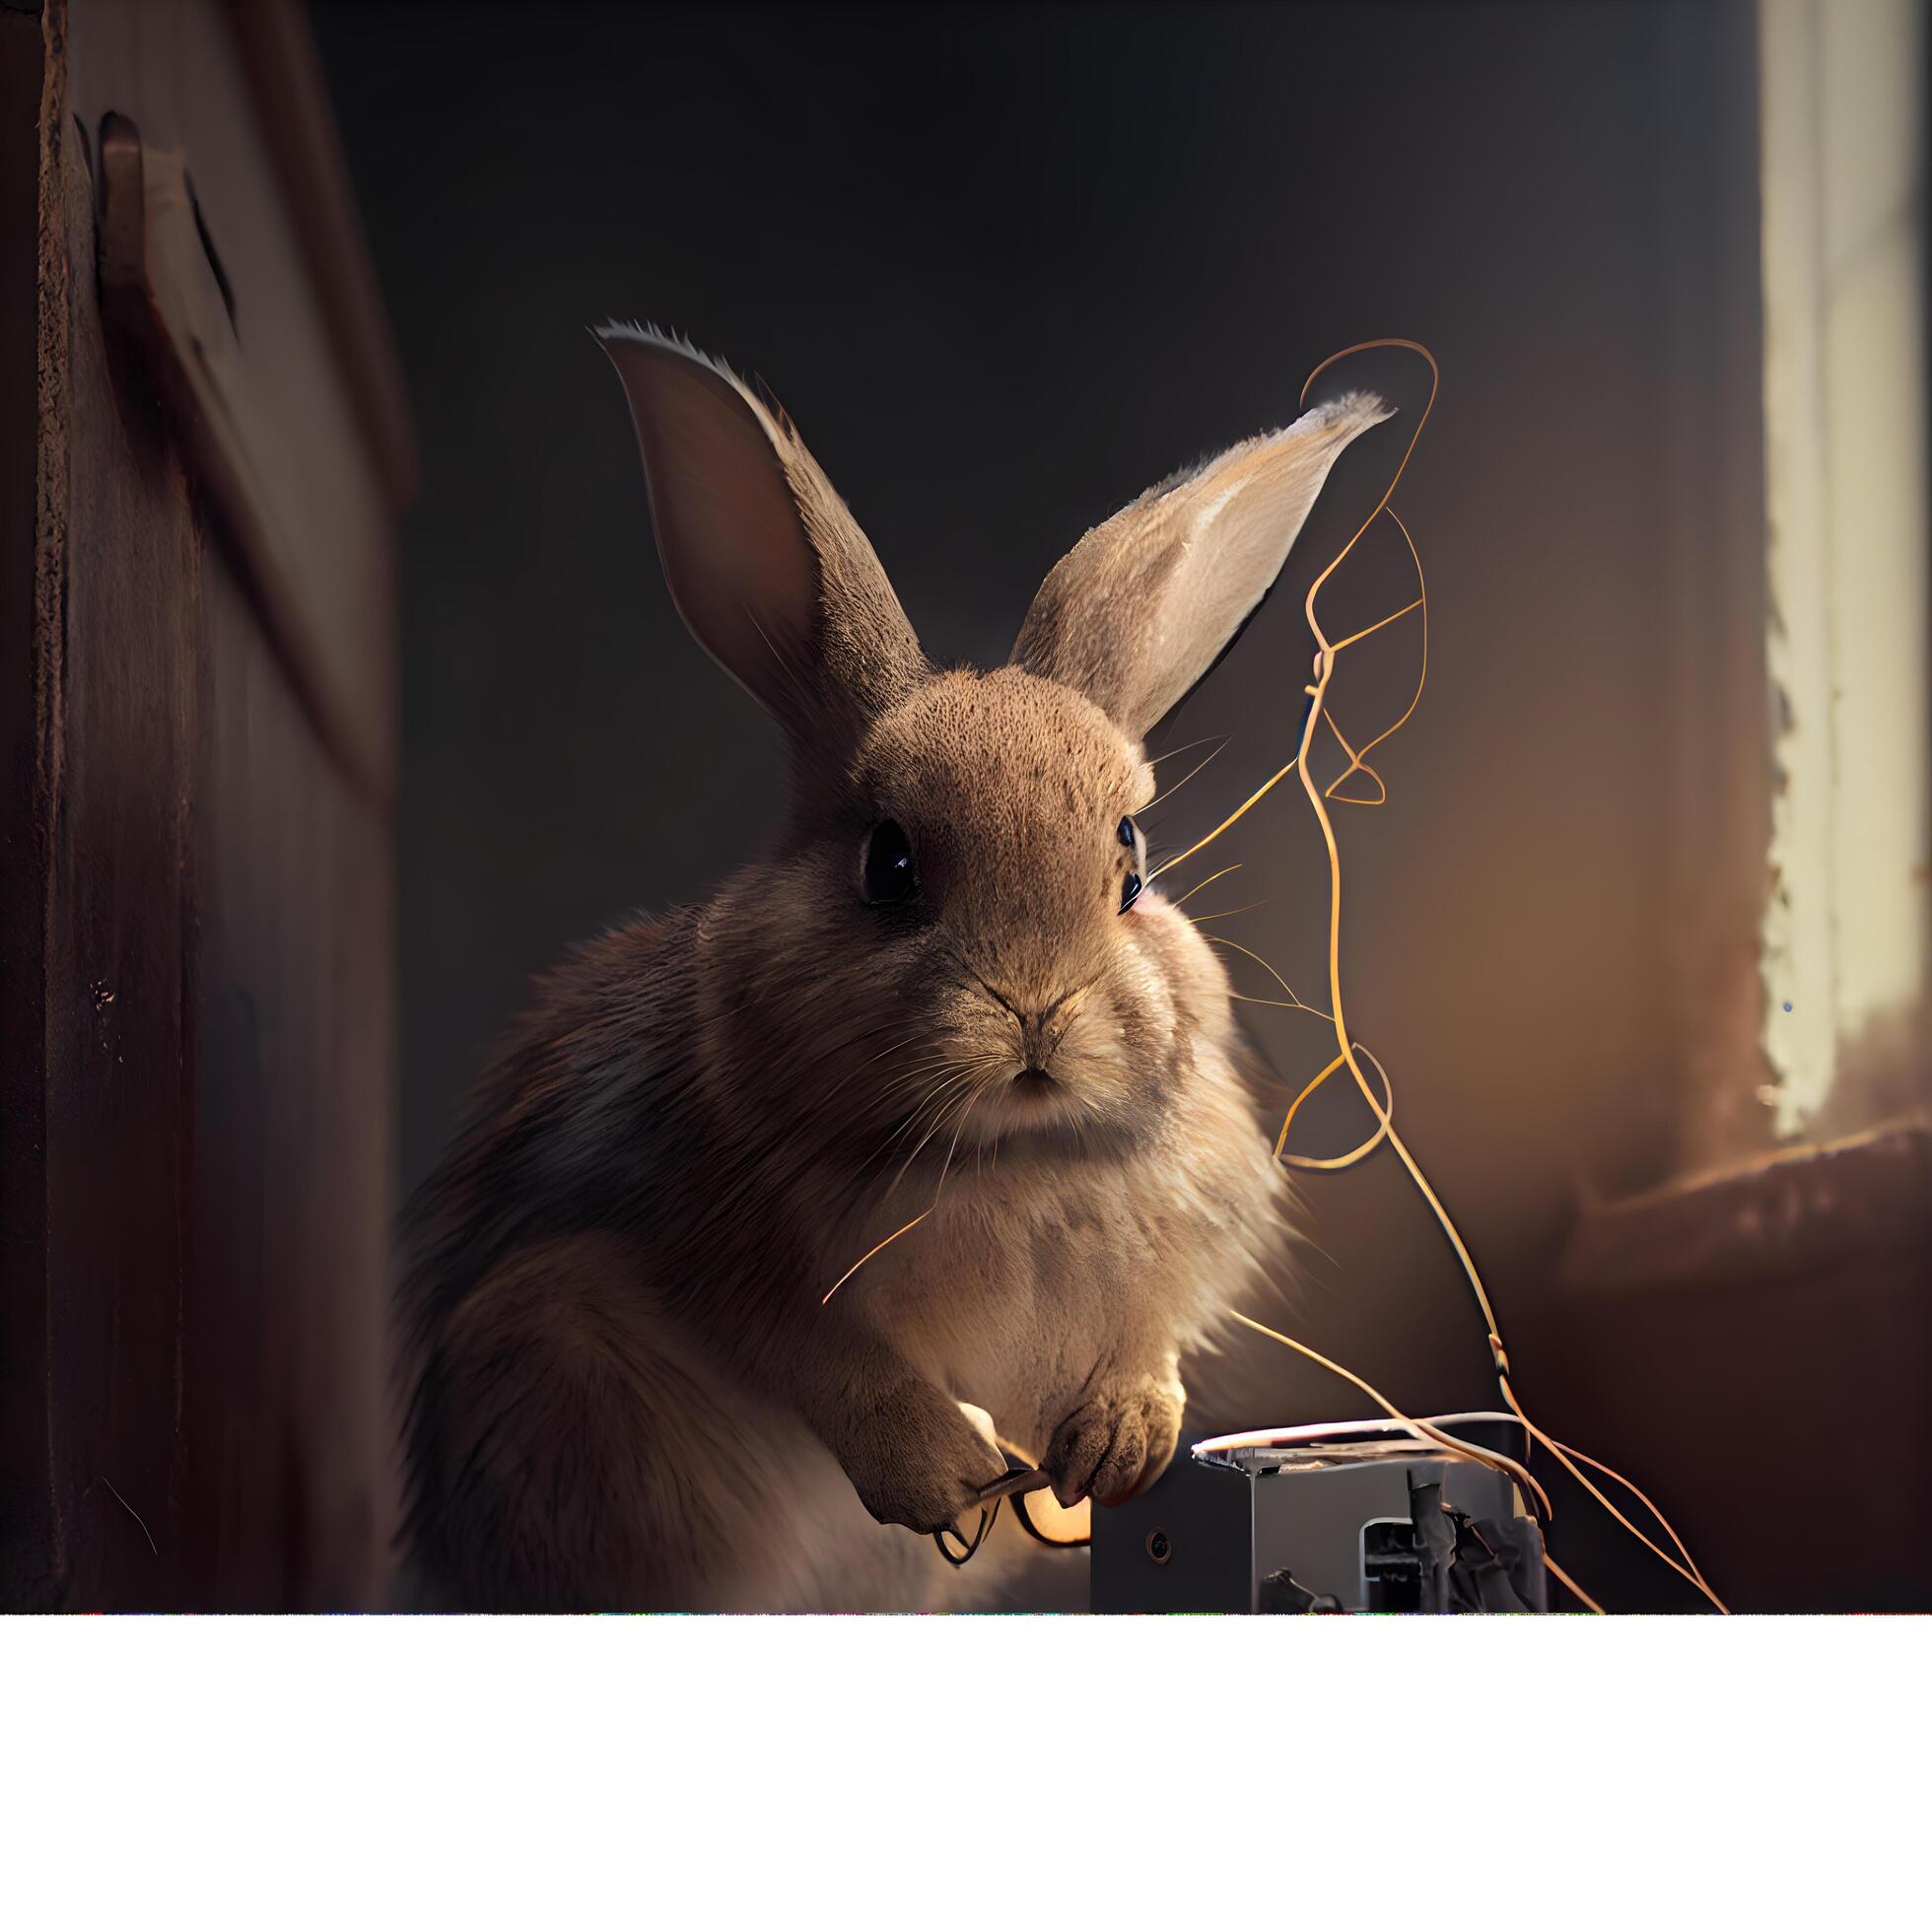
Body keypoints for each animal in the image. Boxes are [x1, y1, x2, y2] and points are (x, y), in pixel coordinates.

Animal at [393, 325, 1390, 1611]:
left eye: (1131, 861)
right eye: (889, 862)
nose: (1036, 1008)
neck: (1011, 1156)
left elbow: (1146, 1342)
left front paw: (1119, 1441)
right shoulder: (726, 1254)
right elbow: (832, 1365)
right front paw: (949, 1474)